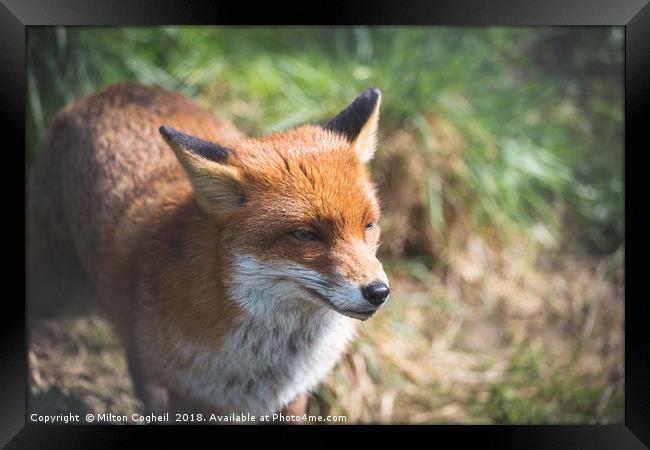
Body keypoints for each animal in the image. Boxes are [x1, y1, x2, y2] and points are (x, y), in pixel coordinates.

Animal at [27, 82, 388, 420]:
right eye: (305, 234)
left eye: (368, 226)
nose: (379, 292)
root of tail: (116, 89)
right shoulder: (191, 395)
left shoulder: (291, 397)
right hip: (59, 293)